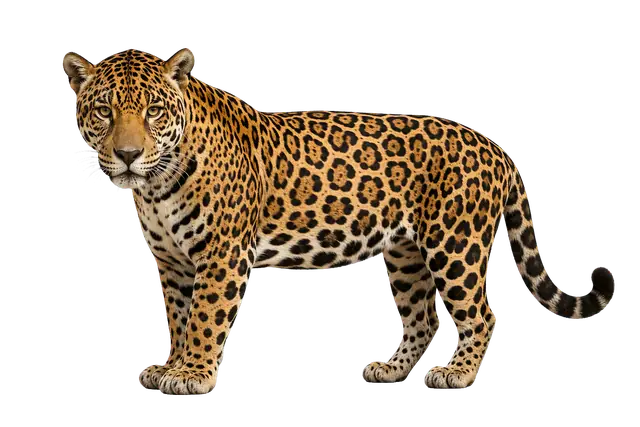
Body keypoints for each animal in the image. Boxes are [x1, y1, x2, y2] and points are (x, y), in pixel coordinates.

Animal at [61, 46, 616, 395]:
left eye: (153, 111)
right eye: (104, 111)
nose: (128, 155)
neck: (156, 183)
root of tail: (495, 146)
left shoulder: (221, 254)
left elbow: (203, 318)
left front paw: (191, 375)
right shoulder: (173, 260)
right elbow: (178, 318)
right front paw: (171, 366)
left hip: (455, 244)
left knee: (480, 312)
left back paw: (456, 374)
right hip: (406, 253)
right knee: (421, 314)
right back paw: (391, 368)